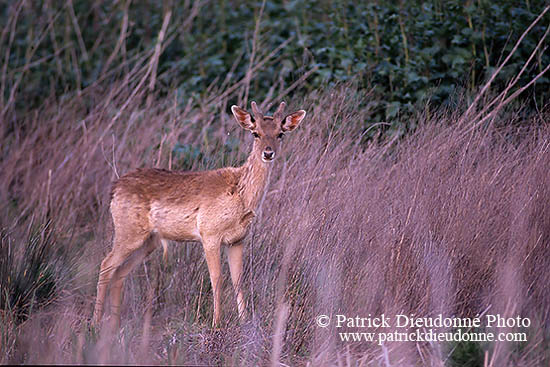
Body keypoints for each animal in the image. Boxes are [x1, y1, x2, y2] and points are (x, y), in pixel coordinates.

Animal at [94, 101, 306, 330]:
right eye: (255, 133)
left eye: (280, 134)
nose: (268, 153)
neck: (241, 196)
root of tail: (115, 188)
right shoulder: (209, 233)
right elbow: (217, 278)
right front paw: (216, 324)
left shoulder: (237, 240)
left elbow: (238, 279)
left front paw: (245, 323)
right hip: (128, 230)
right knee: (106, 265)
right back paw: (95, 323)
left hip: (149, 240)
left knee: (119, 272)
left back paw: (114, 325)